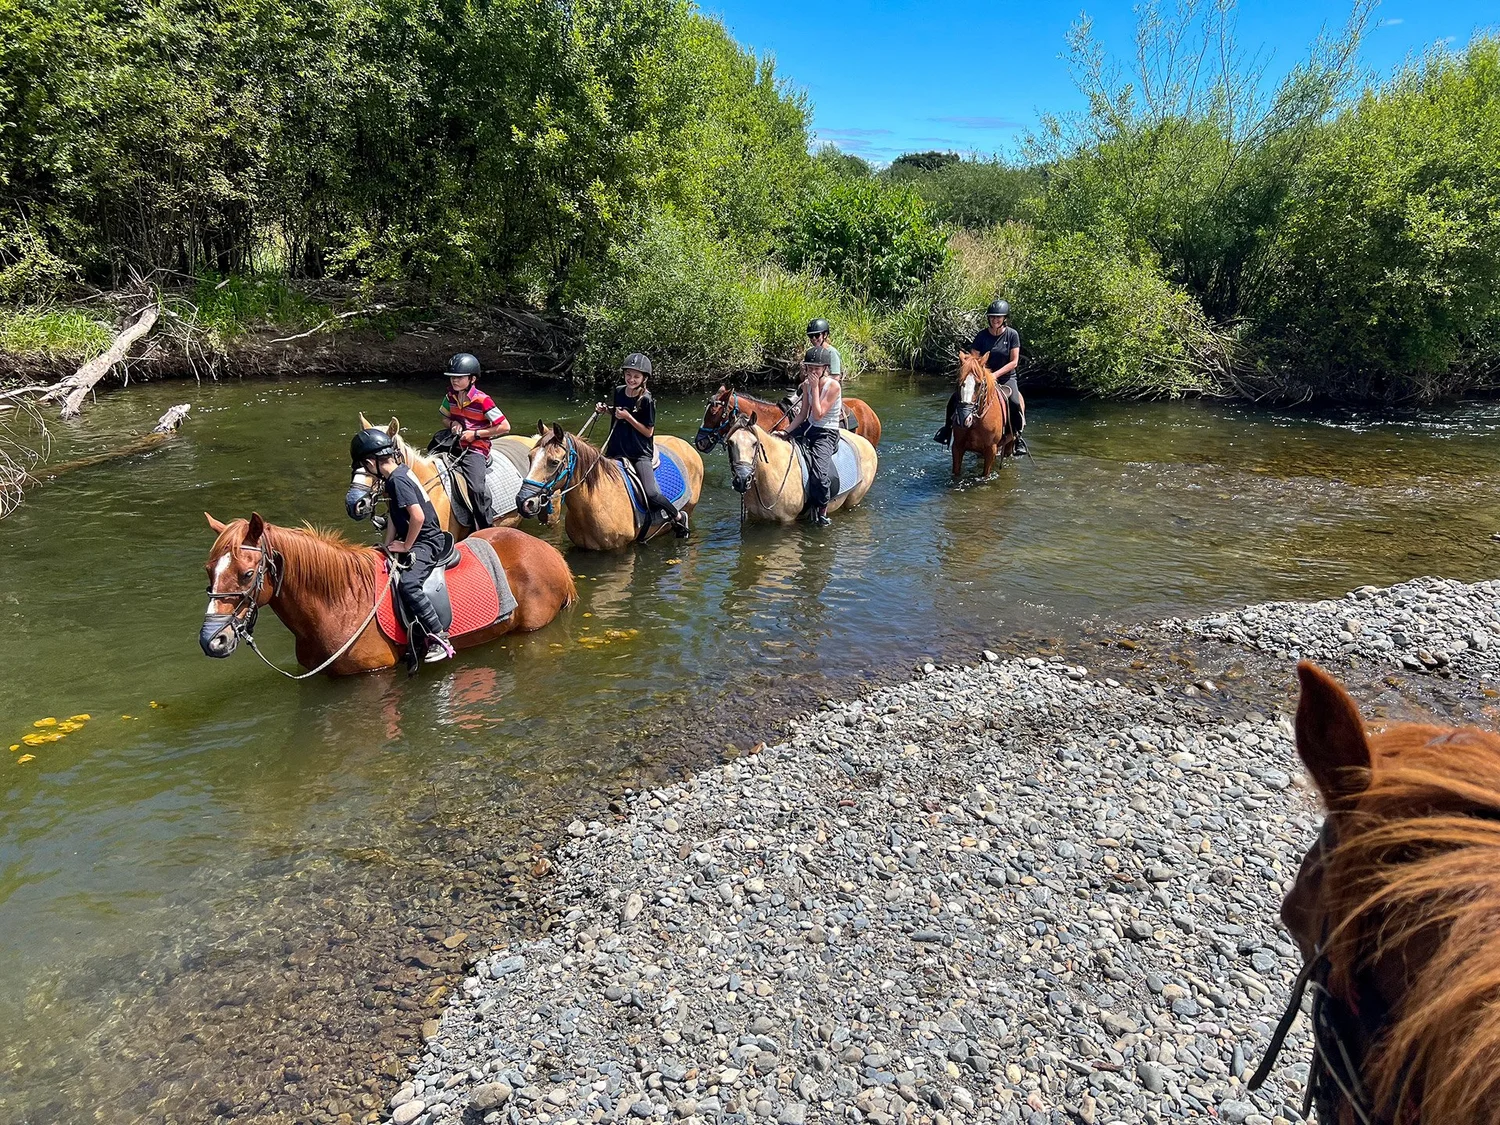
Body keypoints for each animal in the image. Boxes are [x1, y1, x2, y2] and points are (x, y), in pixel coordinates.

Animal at [724, 413, 877, 524]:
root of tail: (865, 442)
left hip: (853, 500)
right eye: (730, 442)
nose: (742, 479)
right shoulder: (754, 517)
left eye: (755, 443)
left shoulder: (787, 520)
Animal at [950, 350, 1018, 480]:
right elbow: (956, 473)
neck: (976, 421)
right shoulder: (957, 447)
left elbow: (985, 474)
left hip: (1009, 445)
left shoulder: (991, 449)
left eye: (979, 384)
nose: (964, 418)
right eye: (958, 382)